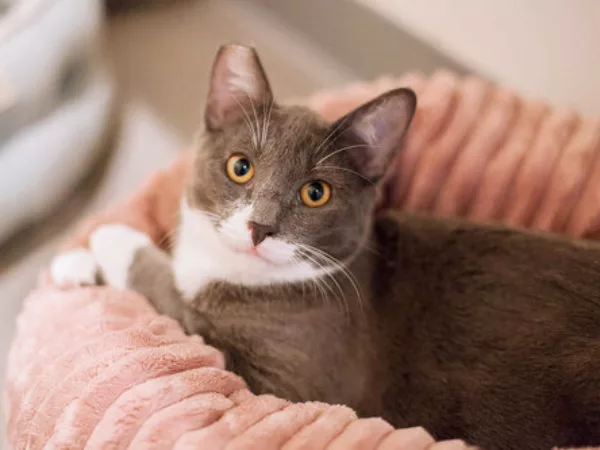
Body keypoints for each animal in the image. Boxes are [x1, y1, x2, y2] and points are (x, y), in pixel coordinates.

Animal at [50, 43, 600, 450]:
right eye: (240, 166)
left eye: (316, 193)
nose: (260, 226)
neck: (229, 270)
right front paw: (73, 264)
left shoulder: (282, 381)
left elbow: (174, 301)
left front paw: (108, 238)